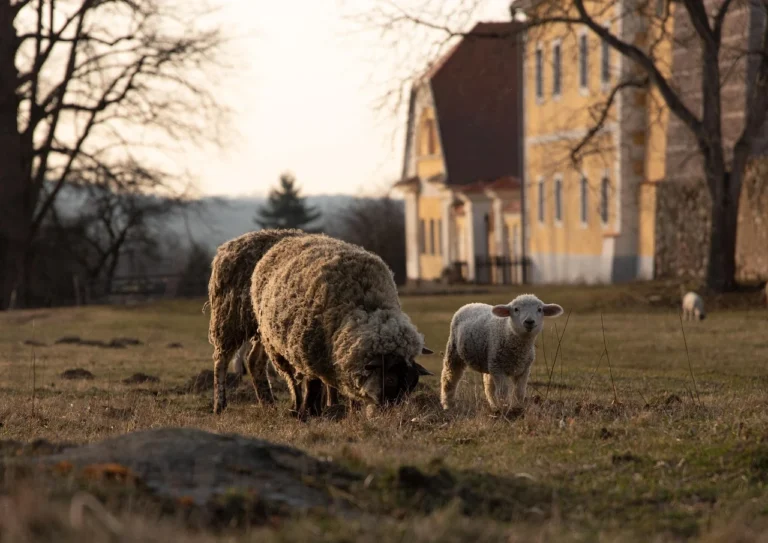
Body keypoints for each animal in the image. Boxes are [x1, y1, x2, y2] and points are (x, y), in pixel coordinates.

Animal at [209, 228, 309, 414]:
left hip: (264, 328)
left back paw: (269, 404)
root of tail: (227, 248)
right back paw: (219, 405)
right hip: (231, 319)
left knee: (254, 361)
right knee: (221, 359)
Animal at [250, 233, 434, 418]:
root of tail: (291, 238)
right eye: (389, 379)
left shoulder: (343, 357)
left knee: (326, 383)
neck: (364, 309)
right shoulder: (308, 354)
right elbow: (312, 385)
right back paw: (297, 407)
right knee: (292, 380)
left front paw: (352, 411)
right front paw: (307, 412)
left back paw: (329, 405)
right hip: (277, 348)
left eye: (412, 383)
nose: (394, 411)